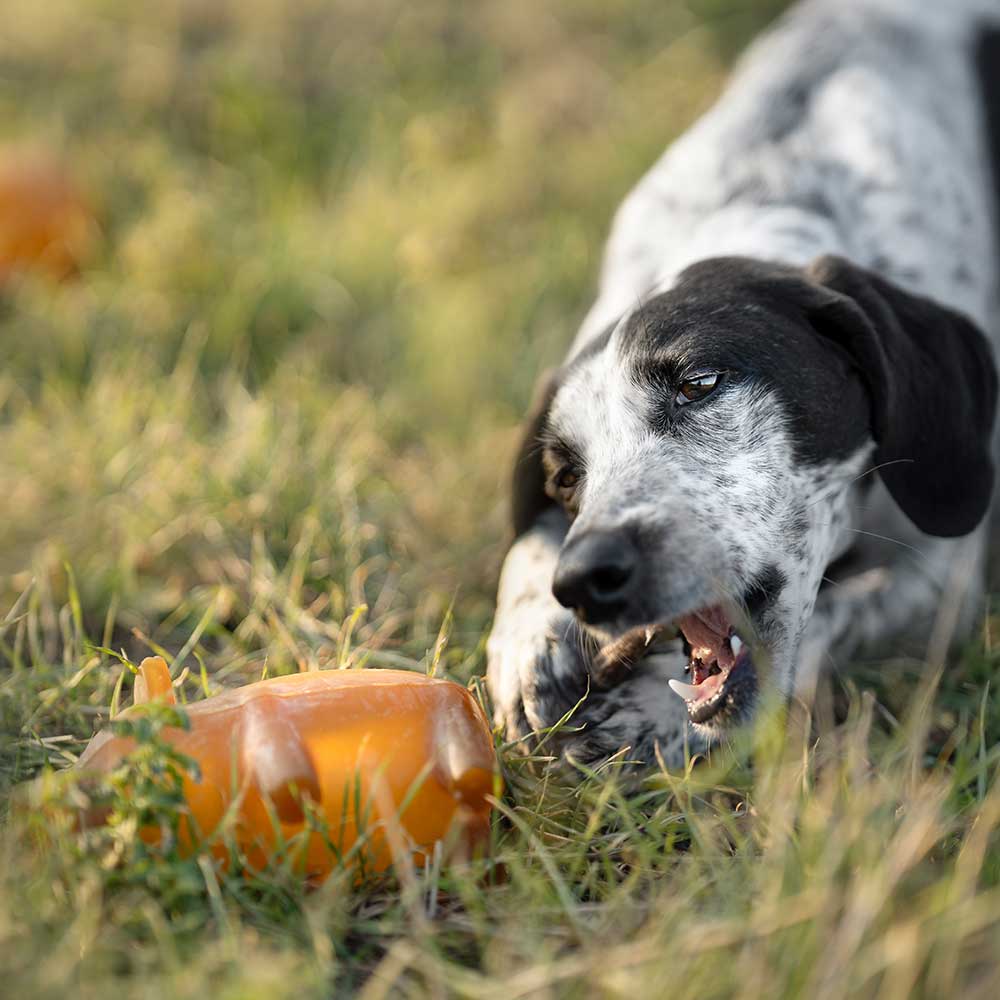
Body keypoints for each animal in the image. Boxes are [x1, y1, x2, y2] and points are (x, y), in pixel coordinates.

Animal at [488, 0, 1000, 764]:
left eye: (700, 382)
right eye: (565, 477)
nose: (586, 579)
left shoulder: (943, 570)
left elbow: (834, 613)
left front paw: (650, 707)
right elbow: (527, 546)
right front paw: (529, 642)